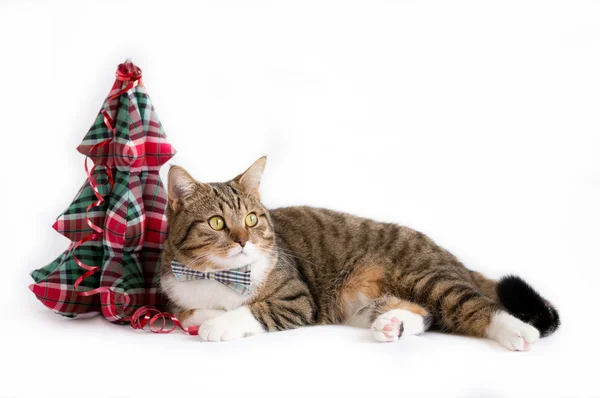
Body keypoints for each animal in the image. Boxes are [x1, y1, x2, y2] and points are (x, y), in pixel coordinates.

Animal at [159, 157, 556, 350]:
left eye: (252, 219)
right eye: (216, 222)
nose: (243, 240)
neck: (218, 274)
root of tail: (450, 257)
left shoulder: (297, 298)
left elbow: (252, 310)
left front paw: (218, 324)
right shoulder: (176, 291)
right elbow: (189, 309)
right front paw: (203, 316)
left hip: (425, 276)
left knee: (475, 306)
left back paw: (518, 331)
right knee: (426, 314)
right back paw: (394, 324)